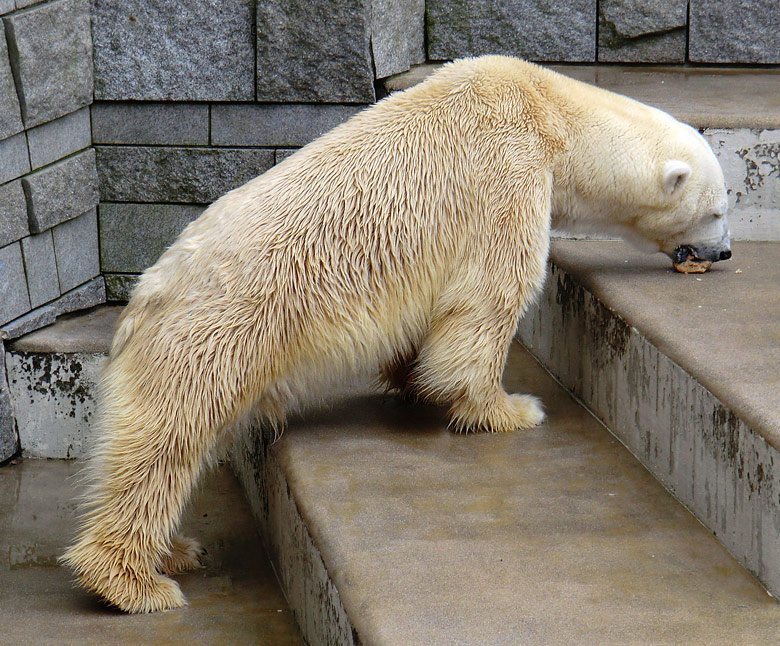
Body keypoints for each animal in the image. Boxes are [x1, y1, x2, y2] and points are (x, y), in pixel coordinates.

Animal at [61, 54, 732, 612]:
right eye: (720, 208)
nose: (723, 253)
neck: (548, 110)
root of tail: (142, 301)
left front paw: (413, 379)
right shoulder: (508, 174)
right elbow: (490, 297)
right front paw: (509, 408)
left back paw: (175, 551)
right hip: (213, 338)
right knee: (163, 446)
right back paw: (135, 583)